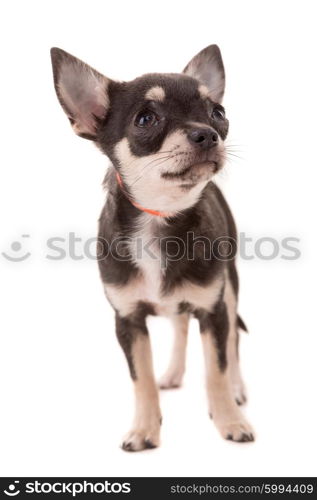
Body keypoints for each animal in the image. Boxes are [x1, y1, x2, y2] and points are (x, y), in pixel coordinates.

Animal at [50, 45, 253, 452]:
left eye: (218, 113)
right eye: (146, 119)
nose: (207, 134)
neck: (161, 216)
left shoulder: (213, 311)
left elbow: (217, 368)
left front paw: (229, 420)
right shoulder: (128, 320)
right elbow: (140, 379)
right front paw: (144, 430)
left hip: (230, 287)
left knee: (232, 341)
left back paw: (237, 389)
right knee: (180, 325)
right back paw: (173, 373)